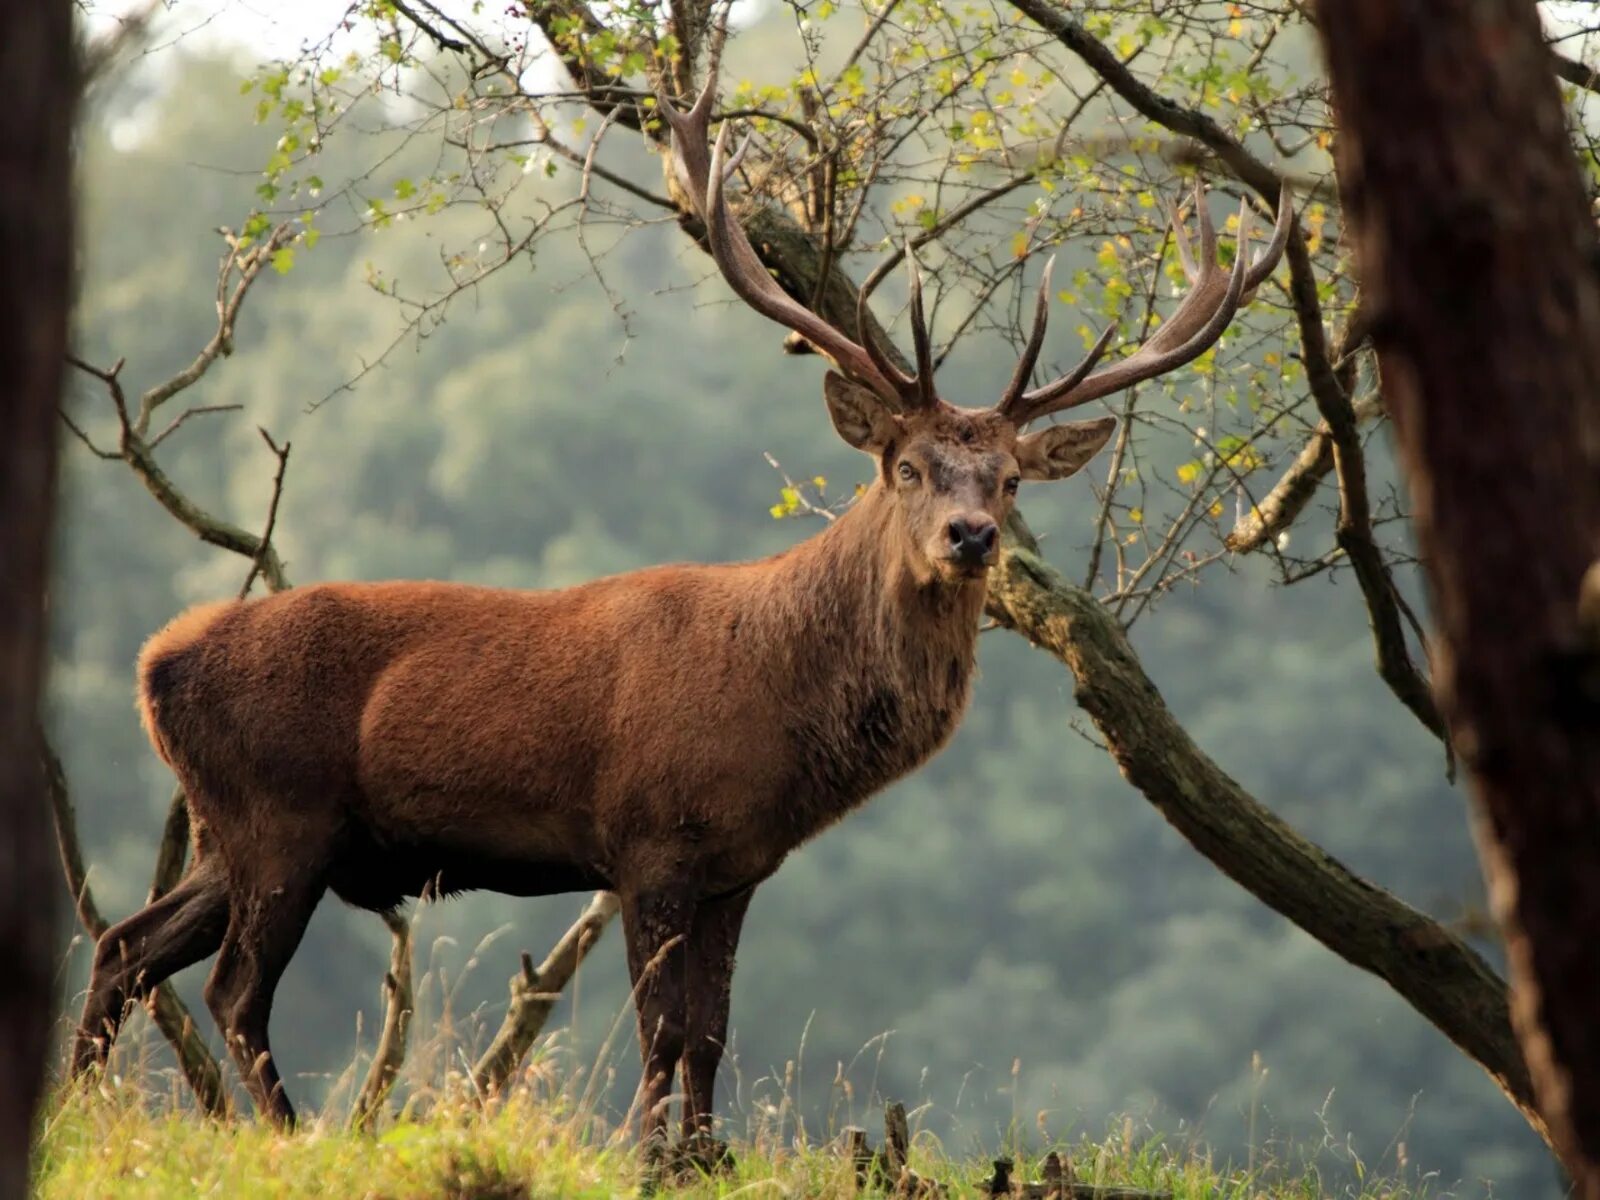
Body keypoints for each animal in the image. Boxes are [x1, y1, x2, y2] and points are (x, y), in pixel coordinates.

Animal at [72, 65, 1286, 1158]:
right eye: (905, 465)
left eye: (1009, 479)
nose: (971, 537)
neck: (781, 711)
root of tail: (152, 664)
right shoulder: (649, 836)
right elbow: (660, 1031)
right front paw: (651, 1157)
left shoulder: (738, 864)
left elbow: (708, 1033)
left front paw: (706, 1155)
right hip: (283, 811)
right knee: (231, 988)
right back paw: (290, 1136)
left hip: (232, 827)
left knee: (128, 947)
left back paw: (81, 1111)